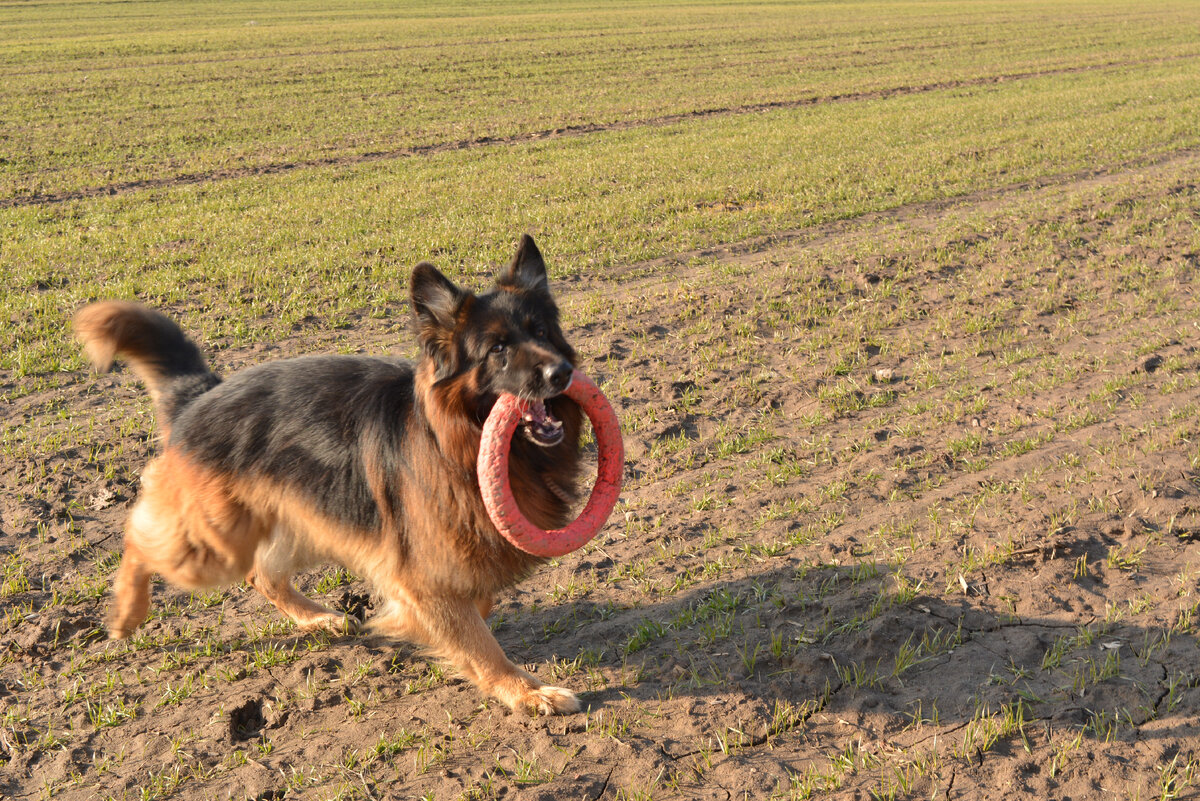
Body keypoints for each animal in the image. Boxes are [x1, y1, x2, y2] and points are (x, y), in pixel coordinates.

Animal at [72, 236, 588, 714]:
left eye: (542, 331)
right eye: (498, 348)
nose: (562, 372)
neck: (451, 439)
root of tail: (202, 394)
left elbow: (472, 609)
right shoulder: (421, 572)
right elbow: (480, 642)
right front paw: (526, 691)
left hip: (310, 523)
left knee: (263, 574)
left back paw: (317, 619)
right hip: (214, 543)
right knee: (138, 536)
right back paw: (126, 613)